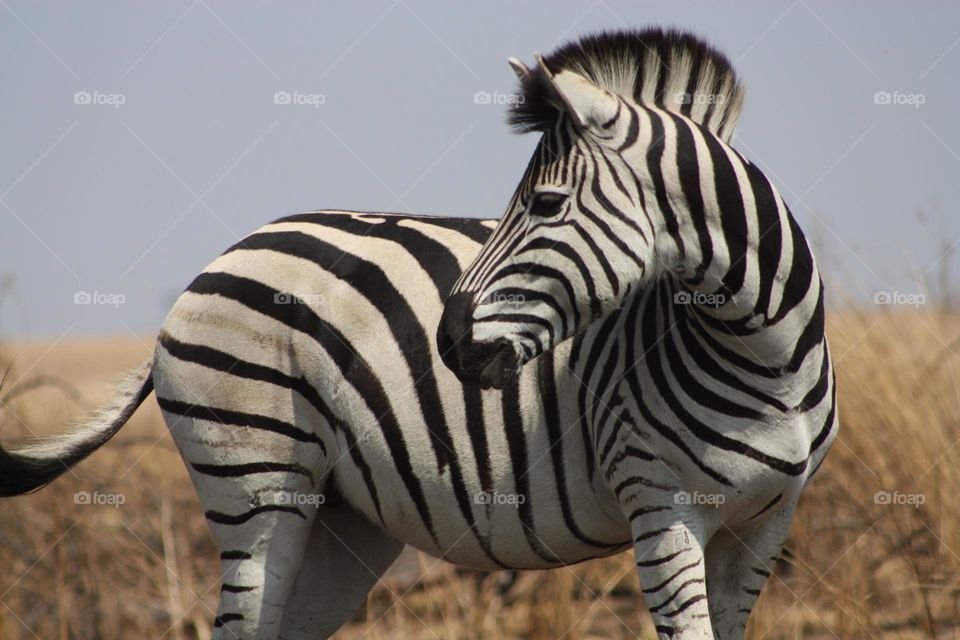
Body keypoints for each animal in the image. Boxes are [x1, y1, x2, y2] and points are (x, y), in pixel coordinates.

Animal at [0, 28, 836, 640]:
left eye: (548, 204)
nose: (449, 342)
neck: (766, 359)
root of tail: (226, 252)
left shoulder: (768, 524)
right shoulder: (660, 507)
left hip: (342, 517)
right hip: (255, 480)